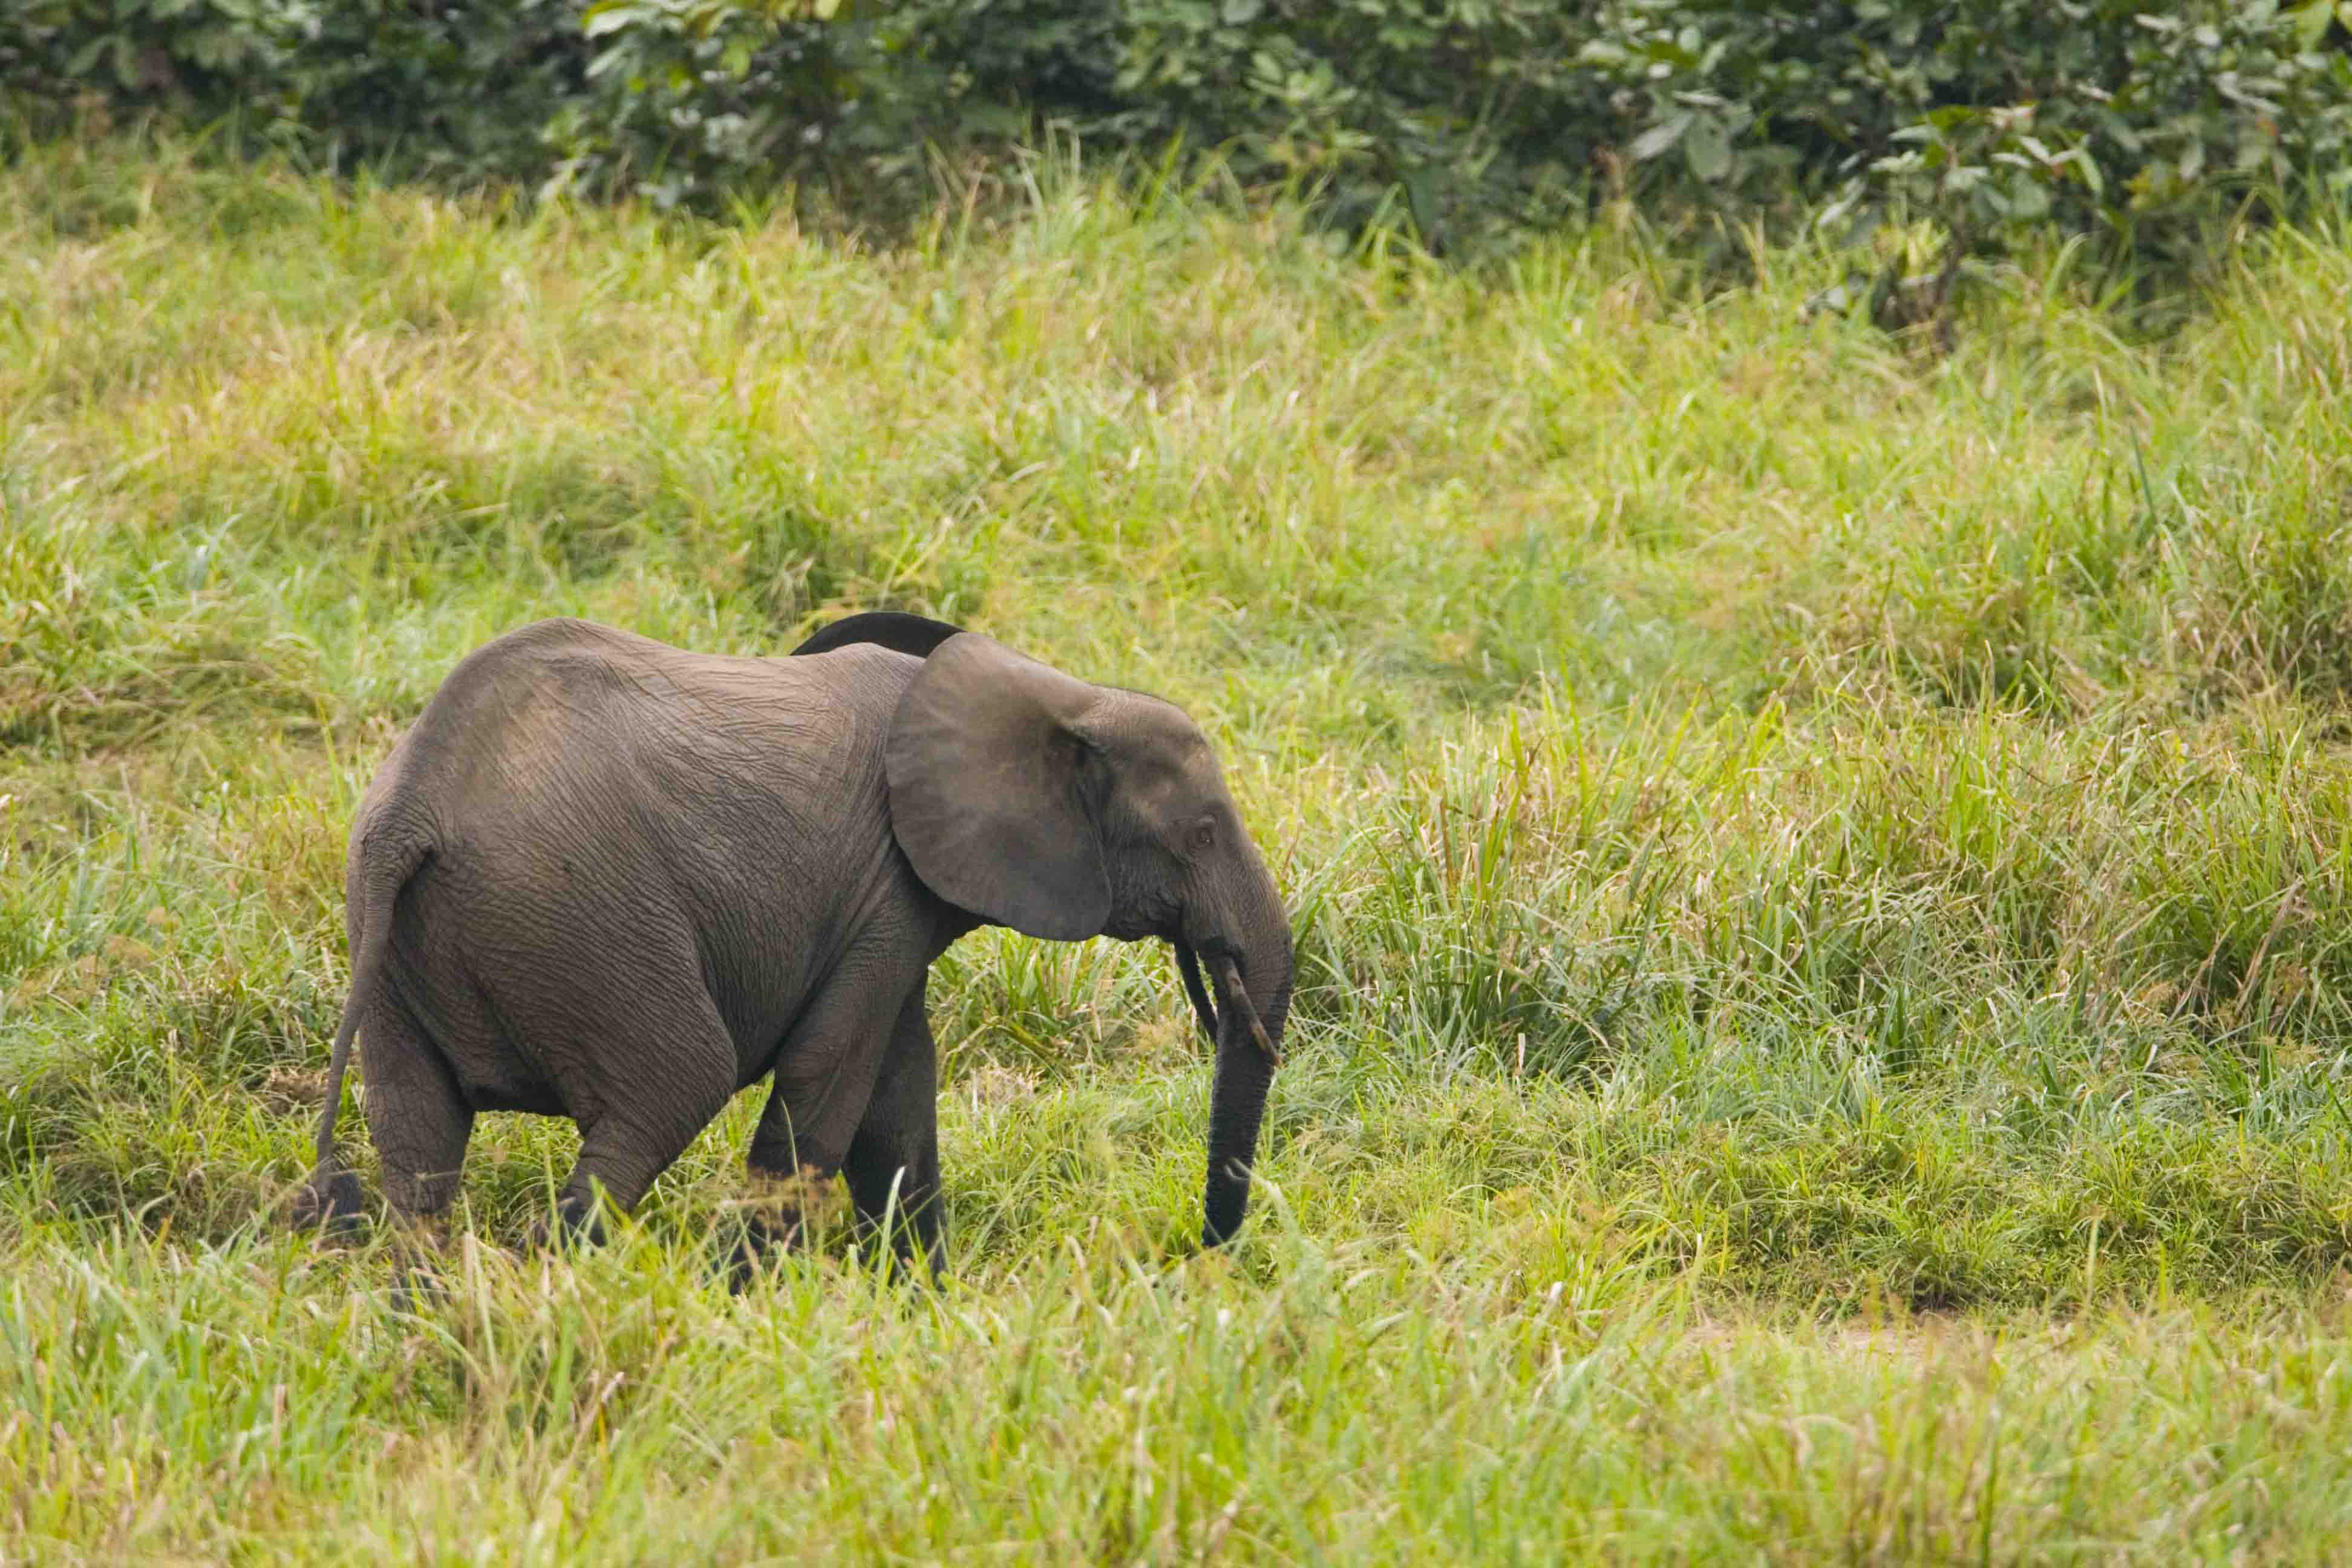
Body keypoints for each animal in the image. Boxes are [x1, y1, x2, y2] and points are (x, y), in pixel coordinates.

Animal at [301, 611, 1298, 1279]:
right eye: (1204, 832)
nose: (1197, 1257)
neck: (1059, 692)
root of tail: (413, 807)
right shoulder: (885, 884)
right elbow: (832, 1081)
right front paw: (745, 1301)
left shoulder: (892, 902)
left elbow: (898, 1091)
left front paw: (926, 1302)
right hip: (579, 919)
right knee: (675, 1084)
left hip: (401, 947)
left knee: (419, 1149)